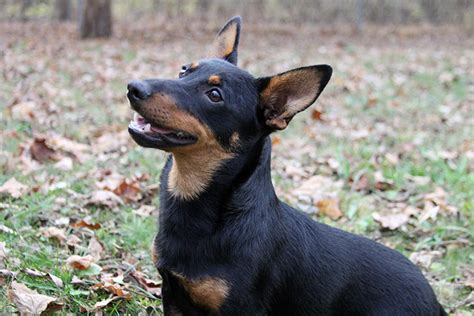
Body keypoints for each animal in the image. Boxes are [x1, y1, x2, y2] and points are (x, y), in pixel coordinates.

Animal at [126, 16, 444, 316]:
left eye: (215, 95)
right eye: (184, 70)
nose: (133, 87)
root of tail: (437, 303)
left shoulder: (240, 307)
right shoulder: (172, 294)